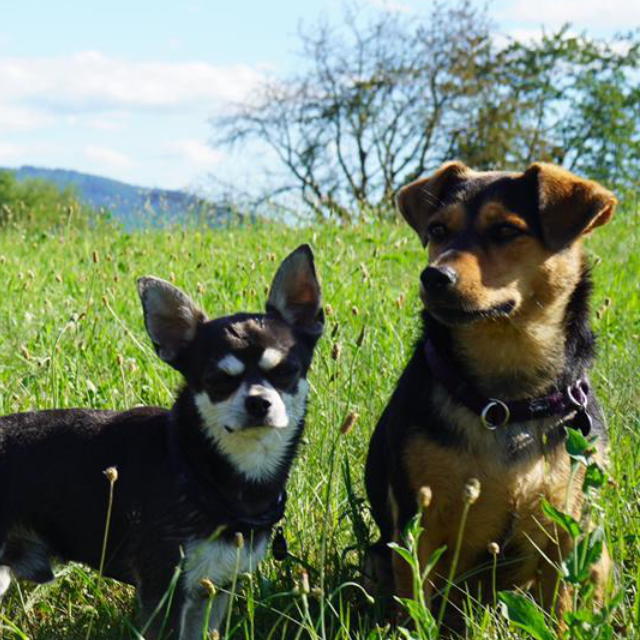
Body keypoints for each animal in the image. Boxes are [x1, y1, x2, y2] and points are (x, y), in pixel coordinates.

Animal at [0, 242, 322, 636]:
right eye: (218, 380)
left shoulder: (213, 589)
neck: (200, 468)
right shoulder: (165, 590)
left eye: (286, 372)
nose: (259, 402)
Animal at [368, 161, 616, 624]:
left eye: (504, 230)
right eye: (437, 230)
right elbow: (414, 606)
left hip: (597, 551)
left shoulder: (565, 528)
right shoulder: (415, 521)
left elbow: (559, 610)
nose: (433, 276)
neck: (506, 399)